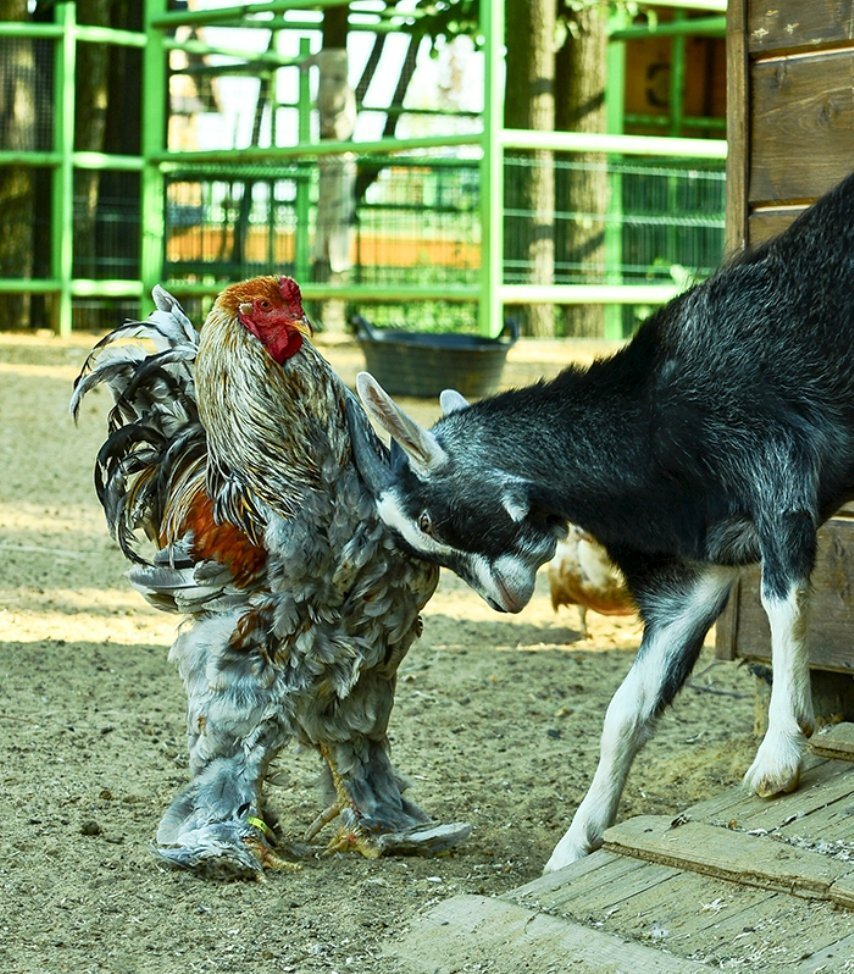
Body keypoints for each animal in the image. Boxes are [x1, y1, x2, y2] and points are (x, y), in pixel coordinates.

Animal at [350, 170, 854, 876]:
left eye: (427, 515)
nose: (504, 601)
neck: (652, 421)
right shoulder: (688, 578)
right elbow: (625, 712)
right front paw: (574, 844)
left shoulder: (777, 466)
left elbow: (783, 603)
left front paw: (780, 752)